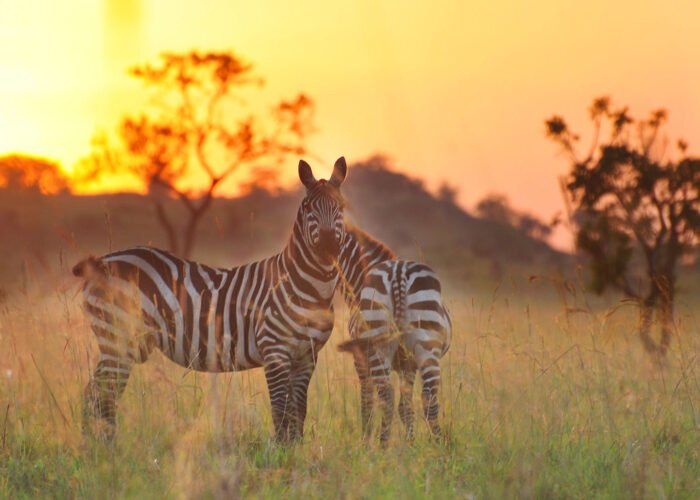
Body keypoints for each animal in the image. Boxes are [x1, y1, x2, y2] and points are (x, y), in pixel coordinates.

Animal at [72, 157, 350, 442]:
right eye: (308, 208)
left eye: (341, 207)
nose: (328, 247)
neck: (308, 287)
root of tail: (101, 262)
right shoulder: (275, 351)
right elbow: (280, 412)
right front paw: (281, 451)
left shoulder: (307, 356)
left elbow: (298, 412)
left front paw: (295, 449)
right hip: (117, 338)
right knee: (98, 396)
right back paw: (102, 446)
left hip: (122, 344)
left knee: (100, 395)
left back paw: (100, 444)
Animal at [336, 229, 452, 444]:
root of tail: (399, 273)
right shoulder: (408, 364)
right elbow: (405, 407)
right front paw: (410, 443)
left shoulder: (361, 359)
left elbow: (367, 400)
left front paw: (366, 440)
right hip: (423, 348)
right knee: (426, 398)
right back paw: (437, 445)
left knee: (389, 396)